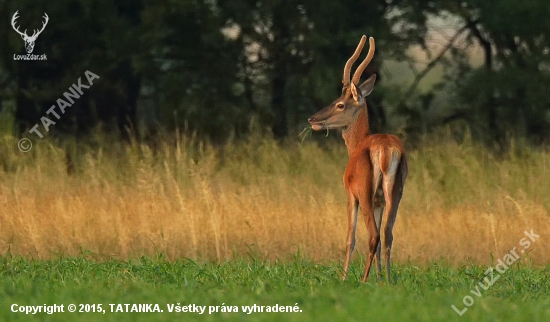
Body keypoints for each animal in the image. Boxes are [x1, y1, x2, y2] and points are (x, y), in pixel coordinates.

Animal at [308, 35, 408, 282]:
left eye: (340, 104)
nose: (312, 118)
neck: (355, 145)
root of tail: (385, 149)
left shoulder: (350, 194)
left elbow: (350, 238)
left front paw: (343, 277)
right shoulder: (379, 201)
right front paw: (380, 278)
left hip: (364, 190)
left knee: (373, 235)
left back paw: (362, 280)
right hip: (395, 192)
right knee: (387, 234)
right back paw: (388, 280)